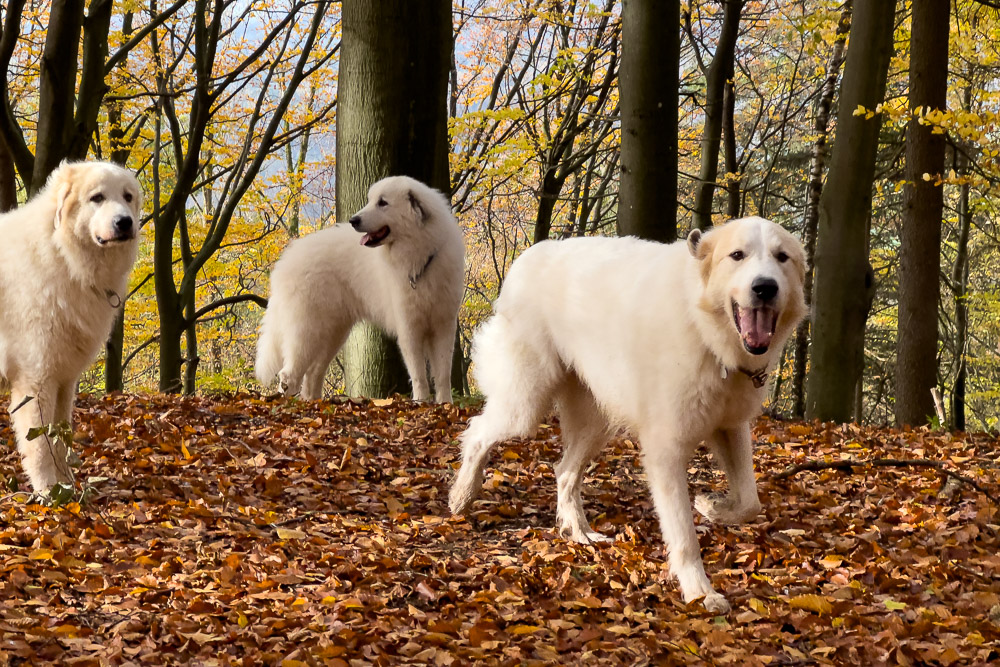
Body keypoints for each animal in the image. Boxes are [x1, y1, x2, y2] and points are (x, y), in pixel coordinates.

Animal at [0, 162, 143, 496]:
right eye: (97, 197)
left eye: (128, 197)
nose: (125, 222)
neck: (62, 253)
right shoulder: (35, 380)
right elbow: (40, 445)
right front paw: (48, 492)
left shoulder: (64, 379)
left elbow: (59, 440)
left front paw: (67, 485)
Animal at [254, 175, 464, 402]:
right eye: (370, 200)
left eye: (382, 202)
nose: (354, 220)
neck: (422, 256)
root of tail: (285, 260)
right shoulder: (409, 328)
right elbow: (419, 375)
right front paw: (421, 402)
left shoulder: (444, 325)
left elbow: (442, 374)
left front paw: (445, 403)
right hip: (308, 329)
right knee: (290, 372)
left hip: (333, 333)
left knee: (313, 373)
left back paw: (314, 402)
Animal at [450, 217, 808, 612]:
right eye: (737, 255)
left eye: (782, 257)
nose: (765, 288)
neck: (702, 328)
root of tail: (530, 255)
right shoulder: (665, 451)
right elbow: (684, 534)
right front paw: (700, 590)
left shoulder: (731, 427)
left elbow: (750, 503)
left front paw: (713, 506)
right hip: (525, 406)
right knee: (478, 432)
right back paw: (461, 496)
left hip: (596, 423)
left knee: (564, 471)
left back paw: (580, 532)